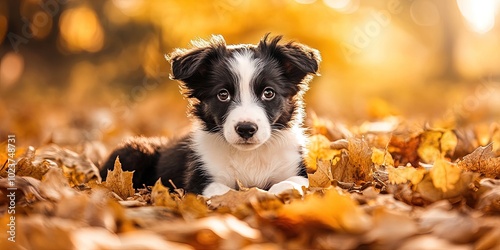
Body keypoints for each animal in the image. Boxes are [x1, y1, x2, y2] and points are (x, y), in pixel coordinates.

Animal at [99, 34, 322, 197]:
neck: (248, 156)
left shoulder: (297, 169)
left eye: (268, 93)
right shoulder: (200, 180)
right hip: (131, 151)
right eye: (223, 94)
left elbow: (289, 183)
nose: (246, 129)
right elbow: (224, 192)